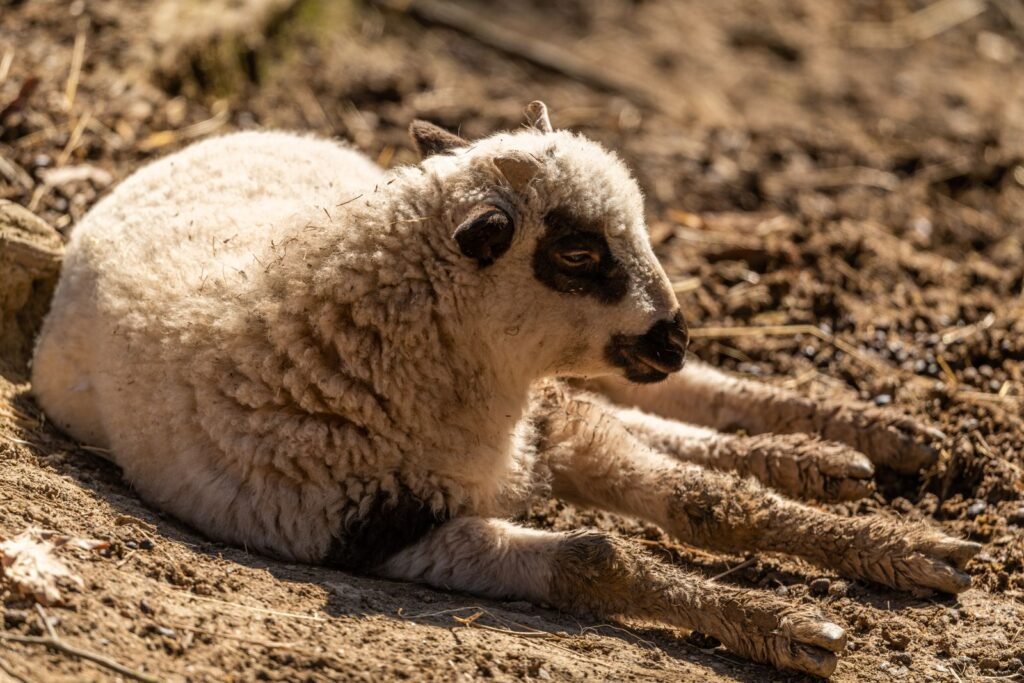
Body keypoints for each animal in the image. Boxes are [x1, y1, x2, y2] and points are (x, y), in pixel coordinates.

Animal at [30, 101, 980, 677]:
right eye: (578, 253)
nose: (673, 332)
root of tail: (181, 151)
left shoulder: (535, 429)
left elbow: (708, 502)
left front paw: (912, 552)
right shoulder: (386, 532)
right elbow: (601, 556)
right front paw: (791, 627)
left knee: (671, 402)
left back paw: (876, 442)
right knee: (639, 407)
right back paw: (837, 460)